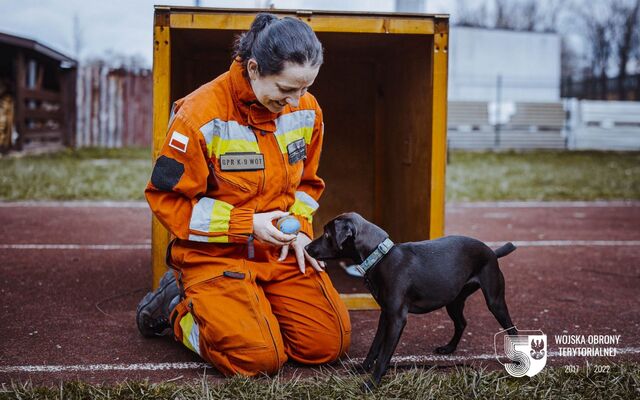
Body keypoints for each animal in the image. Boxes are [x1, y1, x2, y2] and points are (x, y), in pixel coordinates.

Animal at [306, 212, 520, 388]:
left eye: (327, 235)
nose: (306, 247)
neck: (380, 258)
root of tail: (492, 252)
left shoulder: (397, 318)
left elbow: (384, 355)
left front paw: (372, 383)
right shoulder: (385, 314)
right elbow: (374, 346)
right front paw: (363, 369)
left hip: (494, 301)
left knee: (512, 329)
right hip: (453, 301)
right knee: (461, 323)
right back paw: (449, 348)